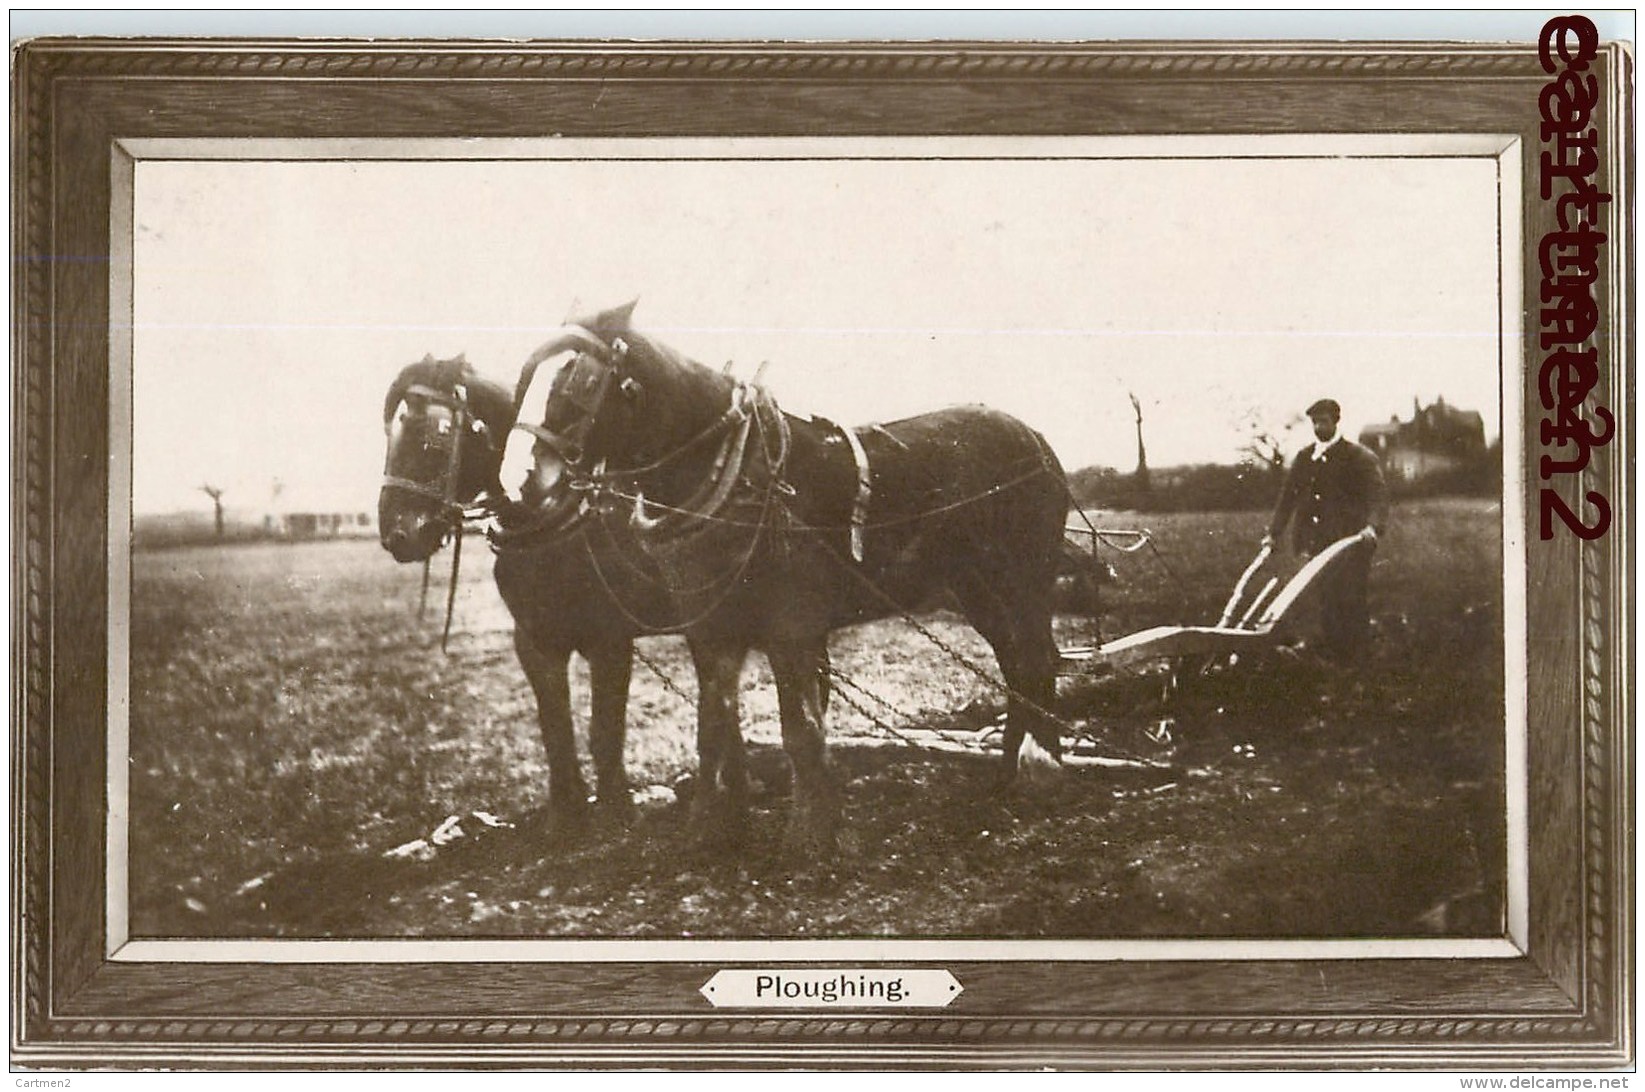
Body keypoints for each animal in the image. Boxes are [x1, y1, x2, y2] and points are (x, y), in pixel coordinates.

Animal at [500, 300, 1065, 855]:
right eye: (525, 381)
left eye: (579, 381)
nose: (518, 483)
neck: (736, 480)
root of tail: (1034, 438)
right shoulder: (710, 631)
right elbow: (713, 725)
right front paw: (712, 829)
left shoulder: (790, 630)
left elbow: (801, 730)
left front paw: (812, 837)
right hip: (978, 591)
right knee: (1017, 664)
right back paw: (1012, 772)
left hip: (1022, 582)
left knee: (1036, 659)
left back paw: (1040, 768)